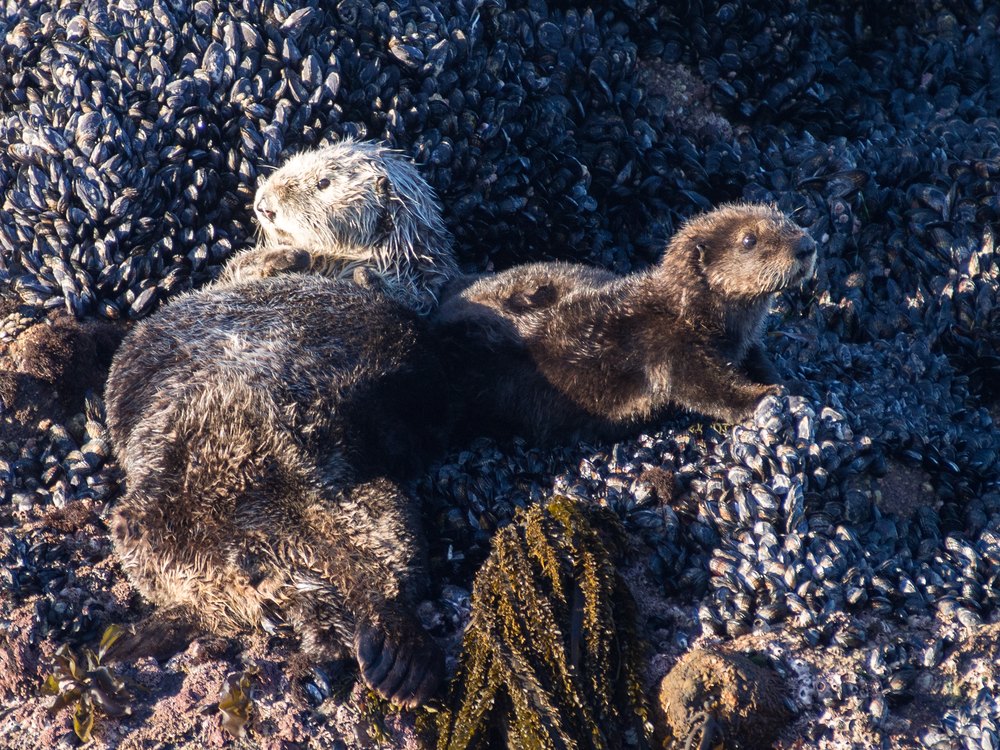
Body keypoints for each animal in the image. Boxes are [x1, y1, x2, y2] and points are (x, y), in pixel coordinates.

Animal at [434, 203, 817, 442]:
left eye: (787, 218)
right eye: (749, 240)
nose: (807, 244)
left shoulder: (746, 343)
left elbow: (758, 359)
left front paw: (787, 383)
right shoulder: (669, 347)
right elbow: (705, 388)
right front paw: (763, 396)